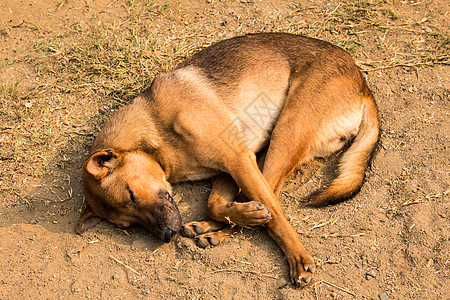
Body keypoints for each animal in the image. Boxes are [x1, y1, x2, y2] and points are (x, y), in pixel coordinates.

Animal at [77, 32, 380, 286]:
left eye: (131, 194)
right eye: (128, 224)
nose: (166, 236)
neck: (155, 127)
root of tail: (363, 85)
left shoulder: (238, 158)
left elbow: (273, 217)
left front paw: (298, 259)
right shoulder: (229, 167)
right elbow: (214, 204)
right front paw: (236, 216)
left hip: (286, 132)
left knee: (274, 201)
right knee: (267, 197)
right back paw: (217, 227)